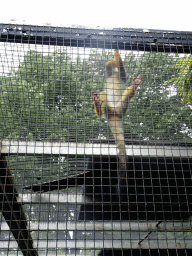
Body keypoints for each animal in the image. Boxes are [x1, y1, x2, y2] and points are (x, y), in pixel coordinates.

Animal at [93, 50, 142, 201]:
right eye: (107, 69)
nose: (109, 70)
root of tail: (114, 114)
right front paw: (117, 58)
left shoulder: (121, 75)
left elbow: (123, 74)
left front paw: (118, 58)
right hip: (108, 110)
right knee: (103, 95)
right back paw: (98, 106)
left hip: (122, 107)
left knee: (125, 96)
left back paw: (132, 88)